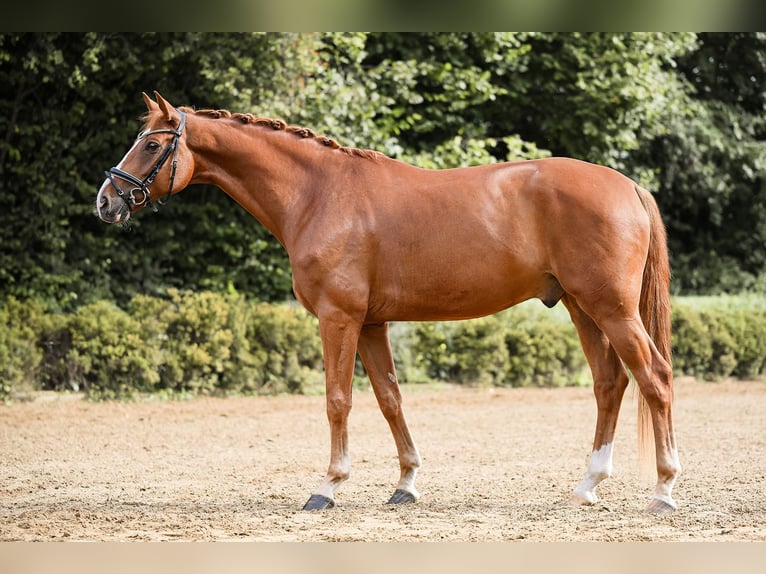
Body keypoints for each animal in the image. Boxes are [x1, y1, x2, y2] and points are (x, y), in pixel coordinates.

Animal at [96, 92, 680, 515]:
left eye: (152, 146)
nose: (105, 202)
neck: (318, 194)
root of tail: (627, 185)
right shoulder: (372, 324)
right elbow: (390, 398)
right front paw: (406, 484)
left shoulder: (338, 319)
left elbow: (338, 400)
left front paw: (328, 487)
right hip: (584, 308)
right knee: (610, 383)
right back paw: (588, 486)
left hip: (612, 310)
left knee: (654, 378)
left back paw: (663, 491)